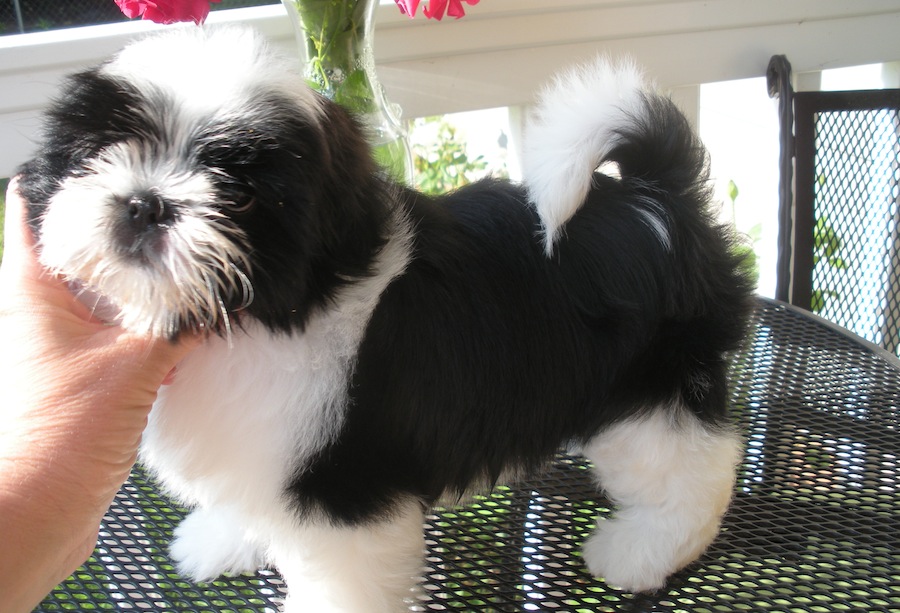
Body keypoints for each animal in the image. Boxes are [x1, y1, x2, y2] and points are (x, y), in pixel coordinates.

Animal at [19, 25, 752, 612]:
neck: (270, 313)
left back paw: (641, 549)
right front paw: (225, 537)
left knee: (695, 466)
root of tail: (657, 197)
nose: (145, 202)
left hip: (650, 385)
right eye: (101, 152)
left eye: (241, 194)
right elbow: (247, 498)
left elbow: (342, 583)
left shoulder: (344, 491)